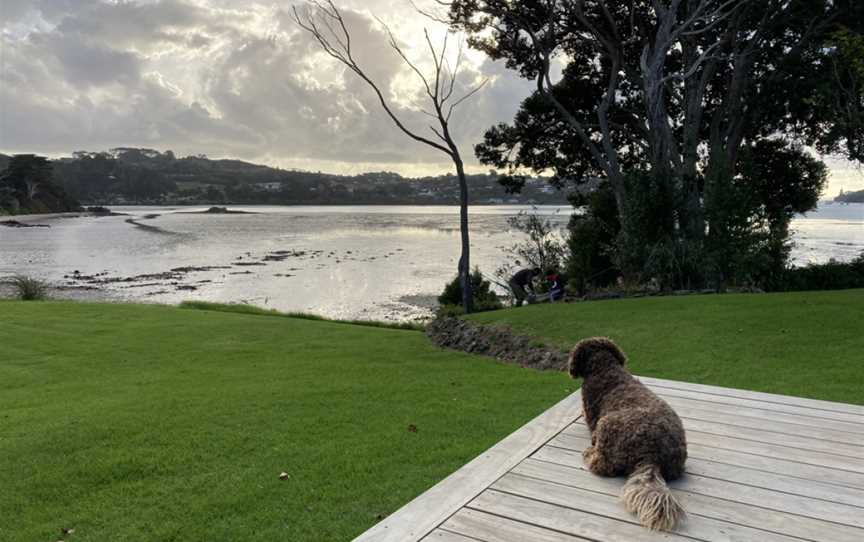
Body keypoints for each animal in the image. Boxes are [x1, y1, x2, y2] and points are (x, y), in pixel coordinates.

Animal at [572, 338, 684, 532]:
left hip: (606, 425)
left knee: (601, 465)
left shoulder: (592, 415)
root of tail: (652, 456)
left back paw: (589, 454)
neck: (605, 368)